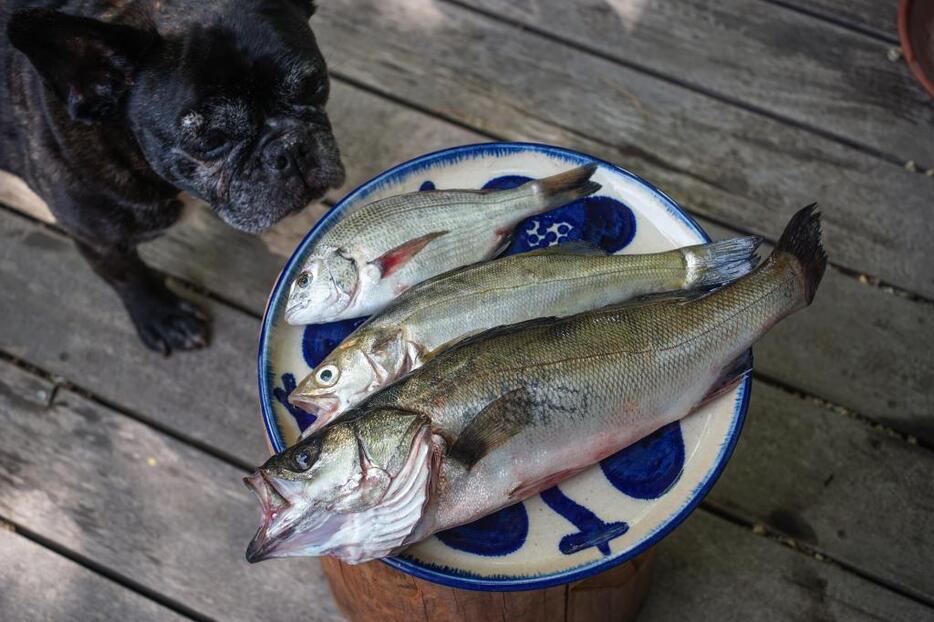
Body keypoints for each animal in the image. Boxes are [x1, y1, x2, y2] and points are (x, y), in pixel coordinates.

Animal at [0, 2, 344, 356]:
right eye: (211, 140)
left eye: (316, 84)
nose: (289, 148)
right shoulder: (98, 239)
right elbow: (128, 275)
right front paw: (162, 316)